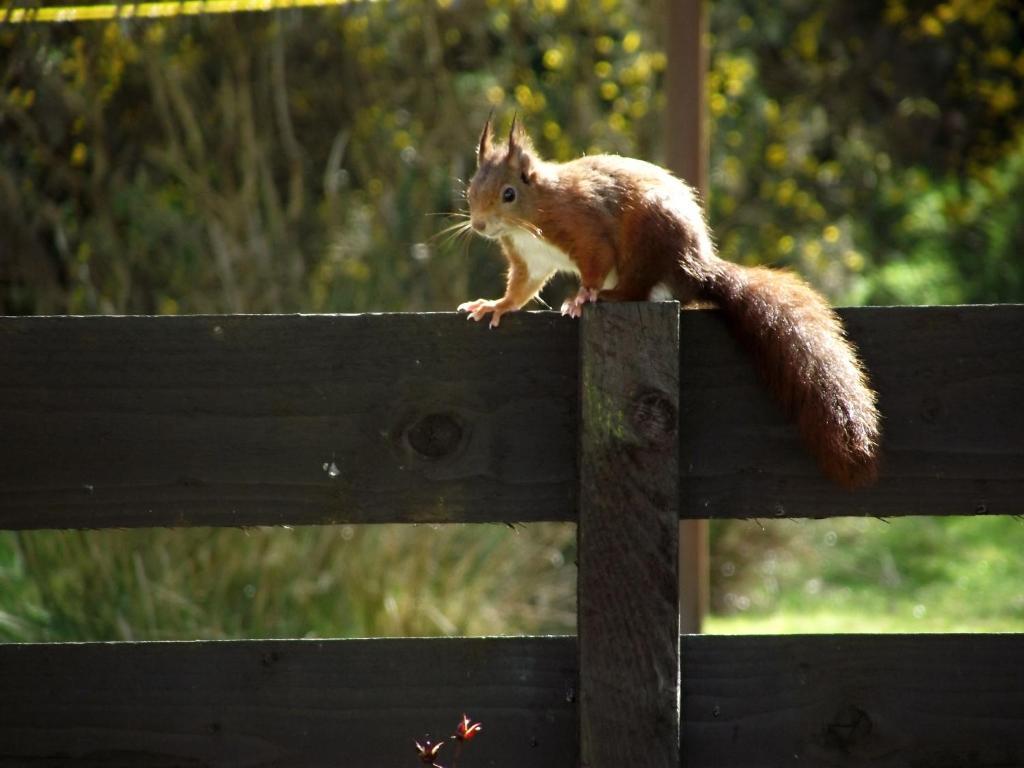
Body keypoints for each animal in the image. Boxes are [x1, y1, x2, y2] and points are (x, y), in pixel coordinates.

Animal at [456, 115, 880, 487]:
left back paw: (607, 295)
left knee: (637, 287)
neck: (532, 213)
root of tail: (696, 269)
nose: (479, 225)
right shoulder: (530, 259)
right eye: (471, 191)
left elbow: (595, 260)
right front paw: (495, 305)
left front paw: (584, 294)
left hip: (650, 239)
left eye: (508, 194)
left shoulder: (585, 228)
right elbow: (521, 289)